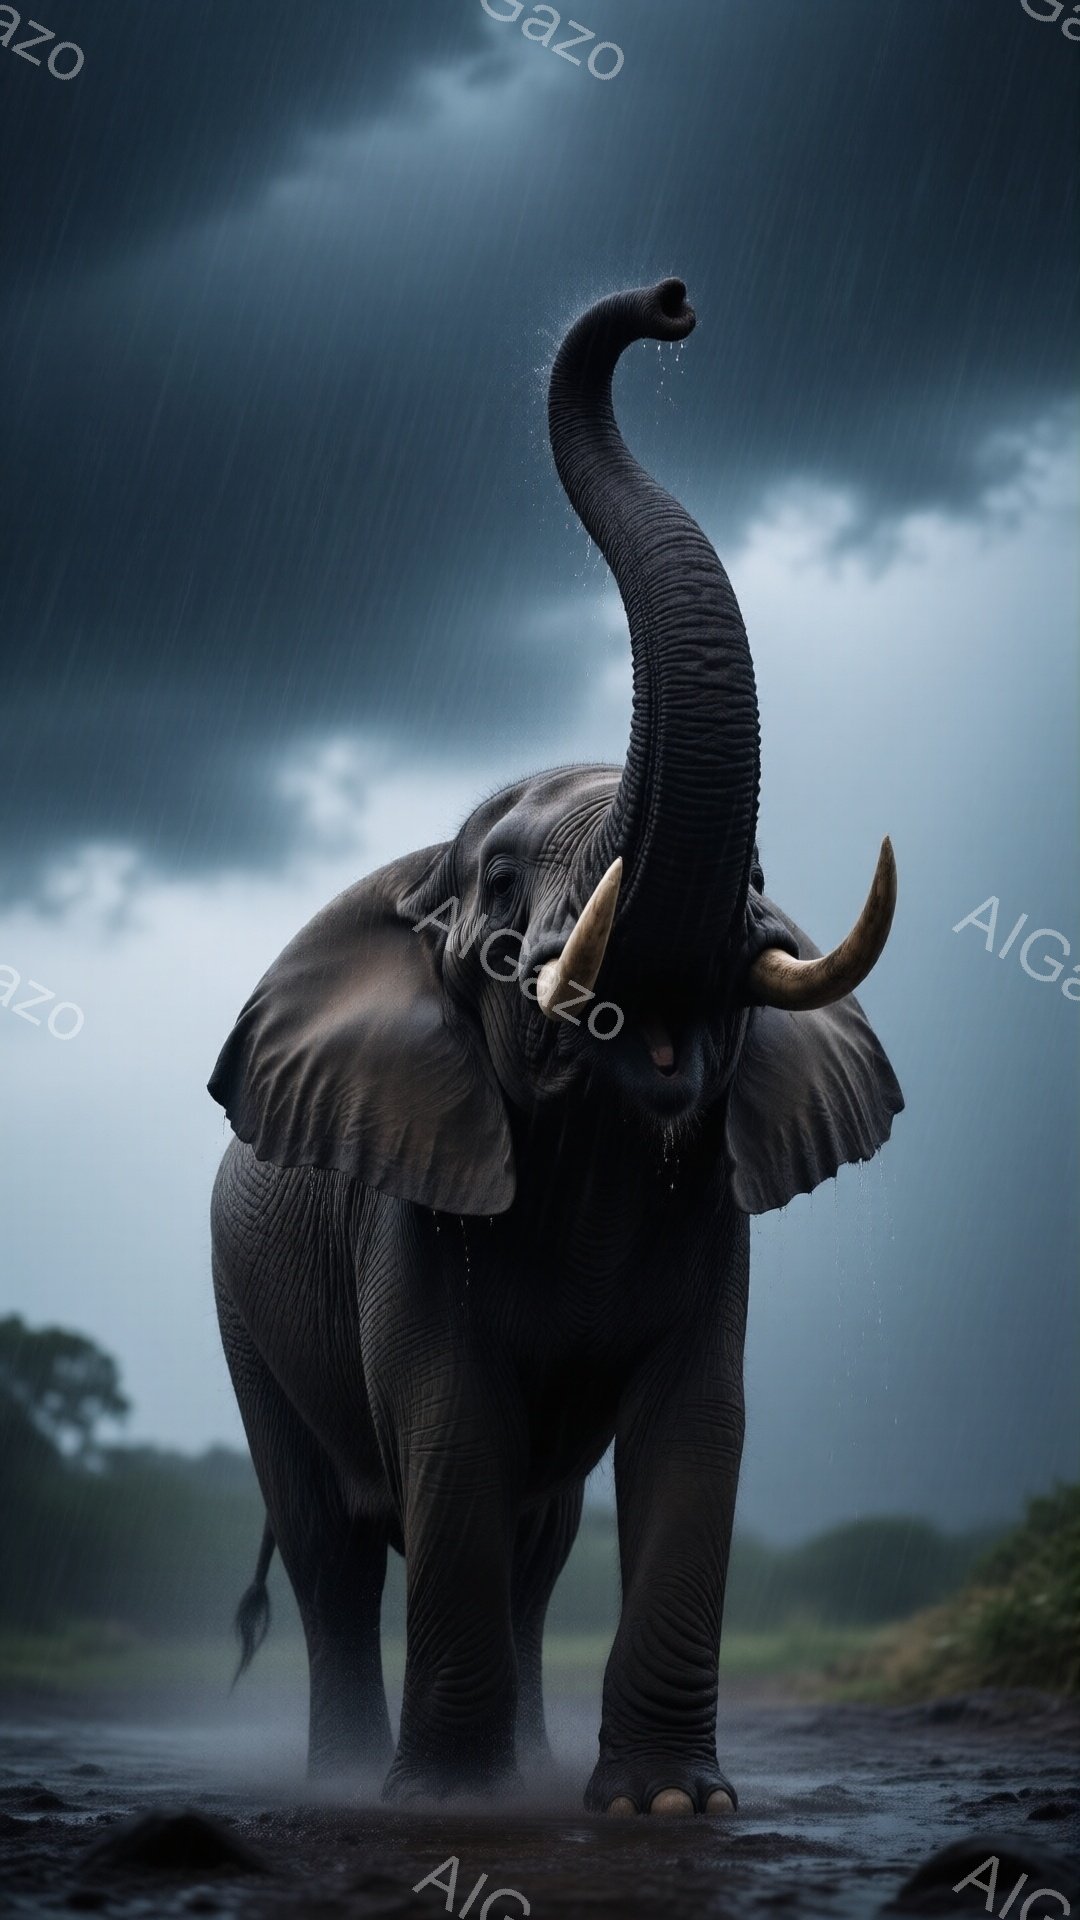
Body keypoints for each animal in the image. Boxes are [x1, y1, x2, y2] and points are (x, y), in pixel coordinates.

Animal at [208, 276, 903, 1817]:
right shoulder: (405, 1211)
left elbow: (696, 1431)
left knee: (535, 1541)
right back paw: (356, 1786)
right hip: (244, 1317)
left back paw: (521, 1771)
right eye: (503, 883)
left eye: (758, 873)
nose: (668, 303)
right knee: (332, 1547)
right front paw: (450, 1809)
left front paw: (664, 1807)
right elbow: (453, 1432)